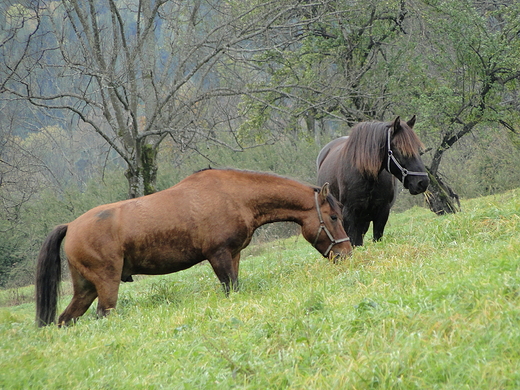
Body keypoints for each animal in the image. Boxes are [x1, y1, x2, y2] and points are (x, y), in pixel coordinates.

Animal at [36, 168, 352, 326]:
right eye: (333, 217)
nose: (346, 253)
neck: (234, 196)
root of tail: (71, 226)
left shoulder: (233, 256)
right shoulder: (218, 256)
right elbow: (230, 288)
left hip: (85, 289)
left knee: (65, 320)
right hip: (106, 283)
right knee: (103, 315)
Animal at [316, 114, 430, 247]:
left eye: (418, 149)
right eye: (401, 150)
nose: (422, 182)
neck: (367, 176)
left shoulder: (382, 213)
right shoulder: (349, 214)